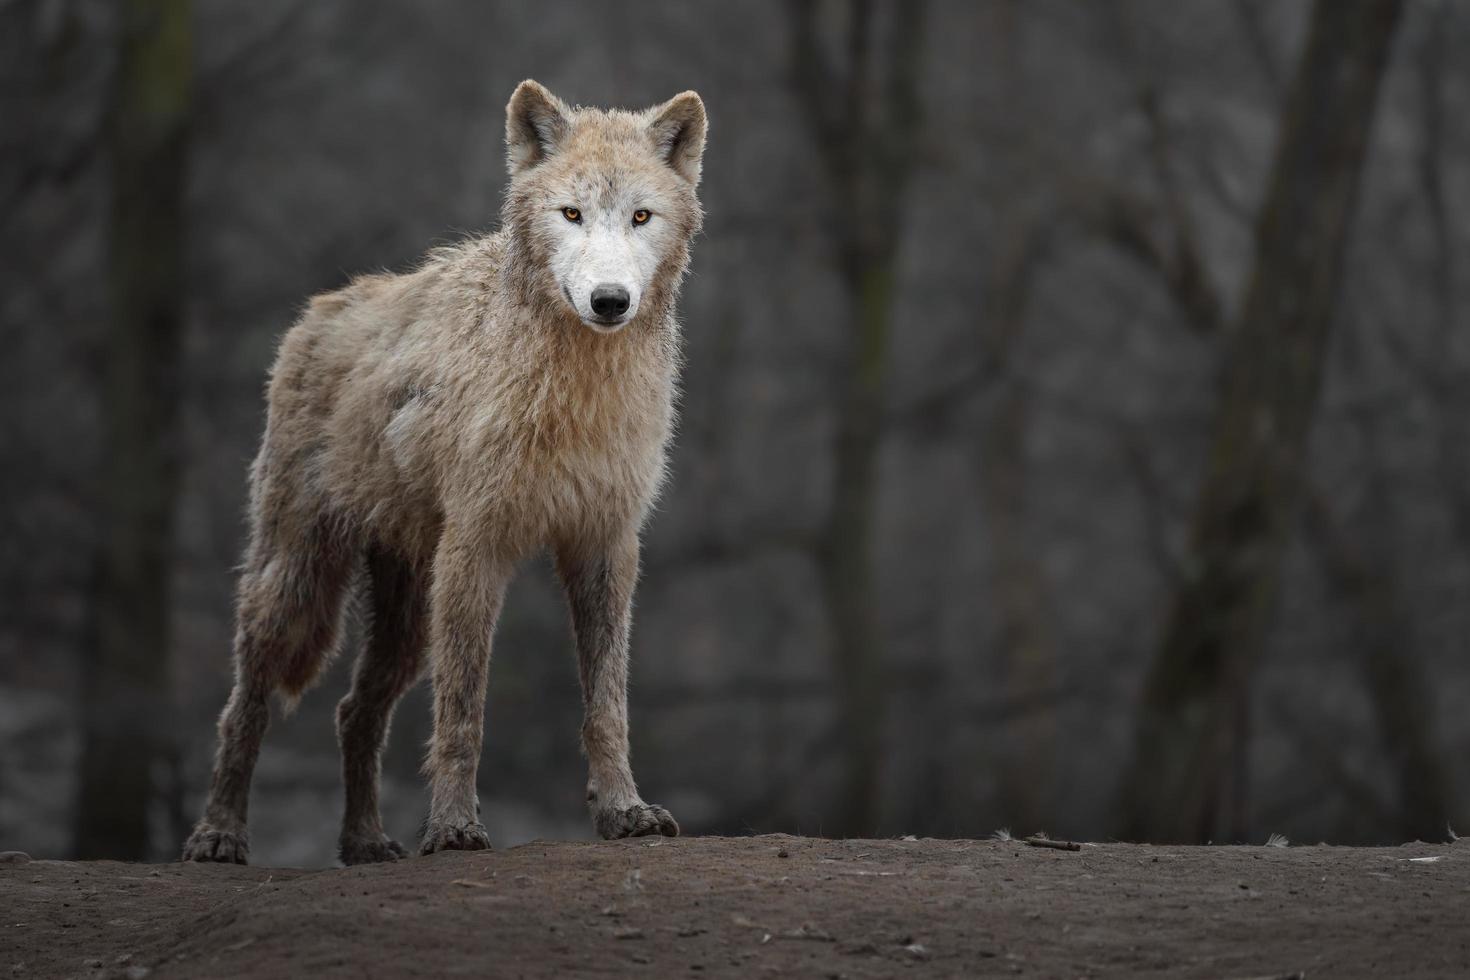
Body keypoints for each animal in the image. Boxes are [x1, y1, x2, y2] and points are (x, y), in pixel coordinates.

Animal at [177, 84, 705, 863]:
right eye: (571, 214)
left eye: (641, 216)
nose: (610, 300)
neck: (576, 393)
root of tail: (315, 312)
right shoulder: (475, 548)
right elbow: (462, 710)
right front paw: (454, 828)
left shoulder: (604, 545)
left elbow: (607, 707)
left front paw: (624, 812)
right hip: (300, 585)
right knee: (243, 707)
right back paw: (218, 834)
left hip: (407, 614)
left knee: (352, 710)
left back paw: (365, 842)